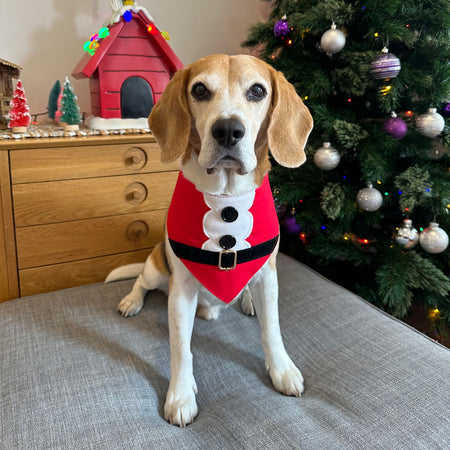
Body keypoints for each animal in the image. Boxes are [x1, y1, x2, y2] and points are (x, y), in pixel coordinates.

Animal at [105, 54, 312, 428]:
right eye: (200, 90)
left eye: (257, 91)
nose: (228, 130)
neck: (225, 200)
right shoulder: (180, 292)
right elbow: (180, 348)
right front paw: (180, 395)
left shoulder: (269, 277)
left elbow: (272, 330)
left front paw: (282, 370)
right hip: (157, 269)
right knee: (142, 281)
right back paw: (131, 300)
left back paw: (245, 301)